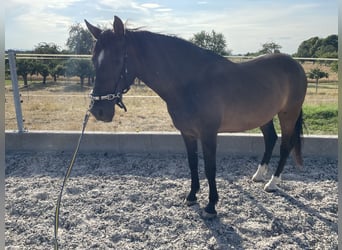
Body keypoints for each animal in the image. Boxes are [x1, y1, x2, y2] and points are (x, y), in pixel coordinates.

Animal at [85, 16, 308, 218]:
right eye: (93, 60)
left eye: (116, 60)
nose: (98, 111)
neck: (190, 83)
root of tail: (295, 64)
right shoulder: (187, 133)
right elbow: (192, 163)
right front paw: (192, 196)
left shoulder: (209, 134)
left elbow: (210, 167)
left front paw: (211, 206)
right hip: (264, 116)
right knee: (270, 139)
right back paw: (259, 176)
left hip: (288, 114)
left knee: (285, 145)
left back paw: (272, 183)